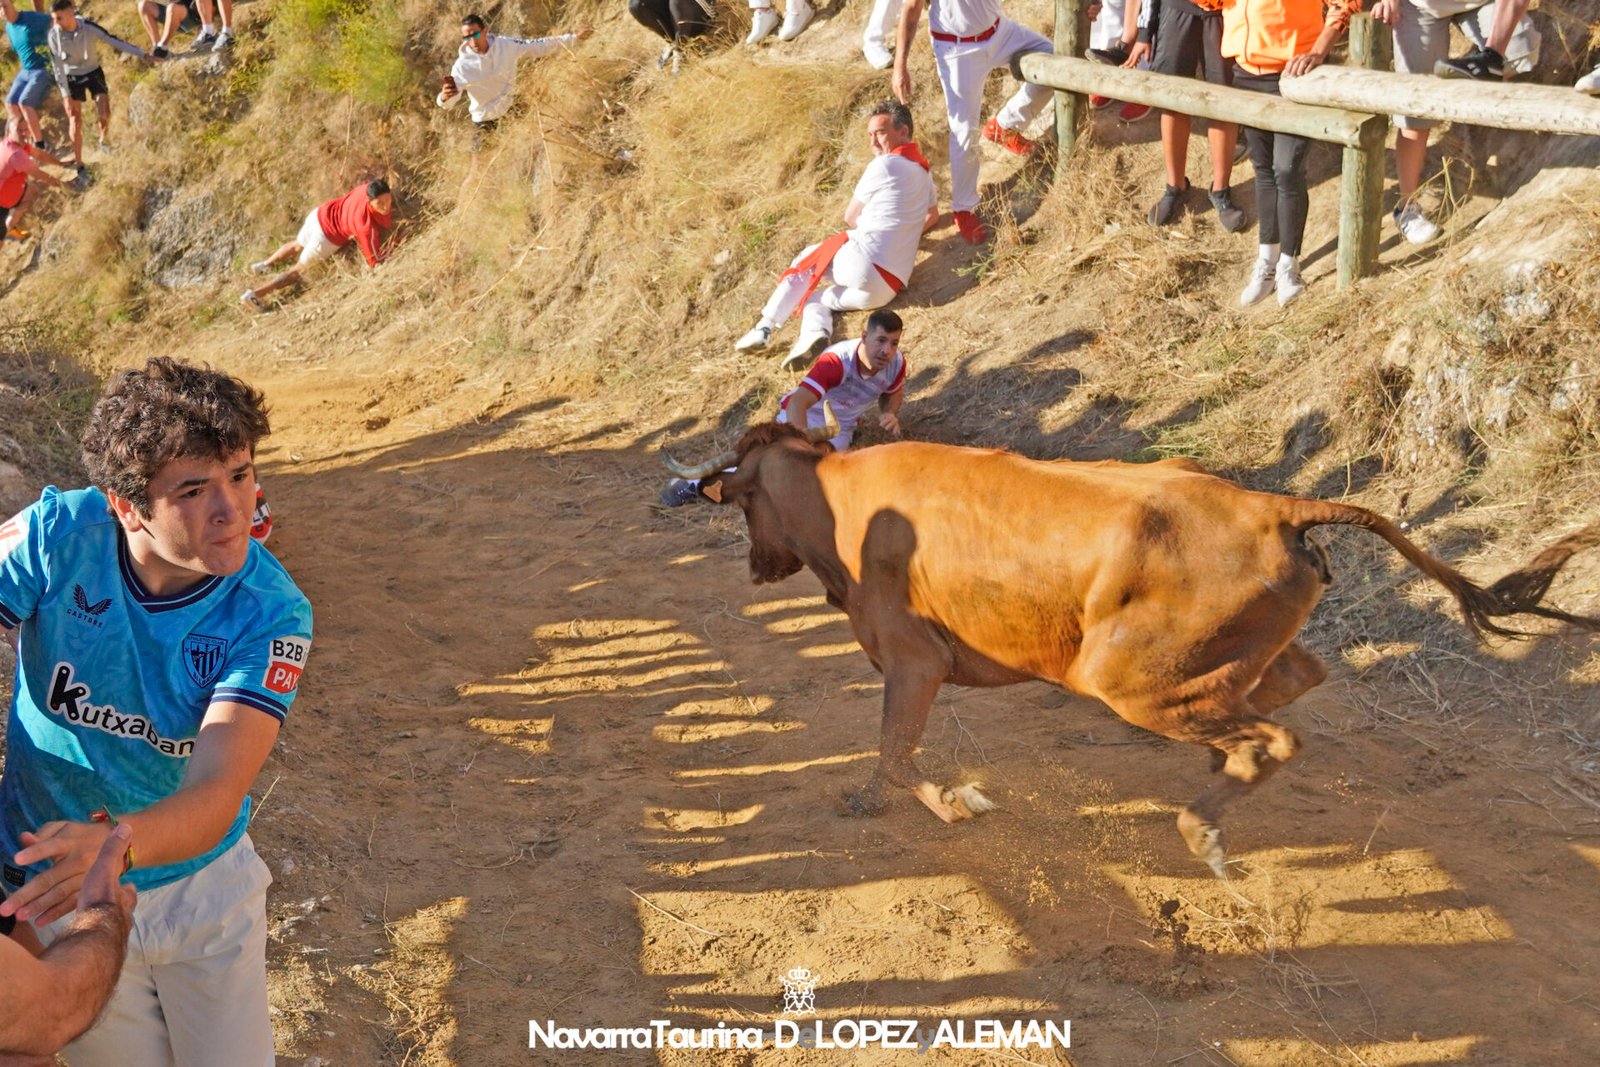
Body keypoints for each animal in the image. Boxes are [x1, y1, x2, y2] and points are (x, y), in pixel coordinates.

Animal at [668, 425, 1600, 876]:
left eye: (742, 502)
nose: (757, 564)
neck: (839, 502)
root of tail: (1274, 507)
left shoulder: (912, 661)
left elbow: (897, 757)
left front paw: (945, 803)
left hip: (1129, 682)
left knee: (1271, 736)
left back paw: (1205, 824)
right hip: (1215, 664)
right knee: (1291, 682)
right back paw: (1215, 781)